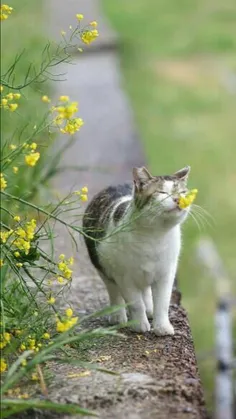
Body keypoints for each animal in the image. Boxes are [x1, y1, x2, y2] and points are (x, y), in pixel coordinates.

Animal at [83, 166, 192, 336]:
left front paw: (162, 327)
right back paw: (118, 316)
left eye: (182, 192)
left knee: (146, 291)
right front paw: (139, 325)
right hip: (103, 268)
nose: (177, 199)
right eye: (161, 192)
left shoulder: (166, 273)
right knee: (114, 292)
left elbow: (162, 302)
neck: (154, 236)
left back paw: (149, 309)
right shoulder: (124, 277)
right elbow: (135, 303)